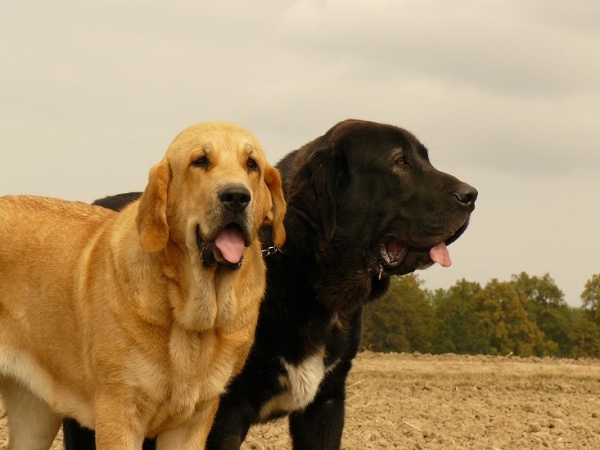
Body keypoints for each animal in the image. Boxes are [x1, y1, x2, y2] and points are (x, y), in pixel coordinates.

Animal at [0, 121, 288, 448]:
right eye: (200, 161)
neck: (190, 320)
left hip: (36, 418)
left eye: (252, 165)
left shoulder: (192, 422)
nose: (237, 196)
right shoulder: (120, 413)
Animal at [64, 118, 478, 448]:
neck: (303, 274)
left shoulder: (326, 405)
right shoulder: (223, 411)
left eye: (425, 158)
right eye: (400, 162)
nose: (472, 195)